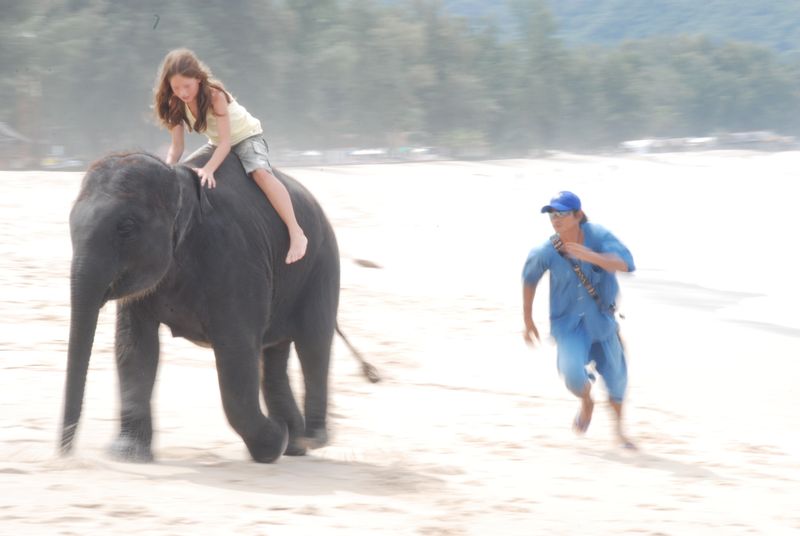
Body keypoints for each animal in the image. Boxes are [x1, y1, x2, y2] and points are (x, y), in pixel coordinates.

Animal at [56, 149, 344, 462]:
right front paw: (128, 455)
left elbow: (236, 353)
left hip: (321, 265)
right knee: (275, 356)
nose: (65, 453)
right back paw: (295, 443)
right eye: (69, 223)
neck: (179, 182)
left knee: (314, 344)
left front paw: (273, 443)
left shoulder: (235, 261)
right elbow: (134, 348)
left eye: (126, 228)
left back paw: (311, 439)